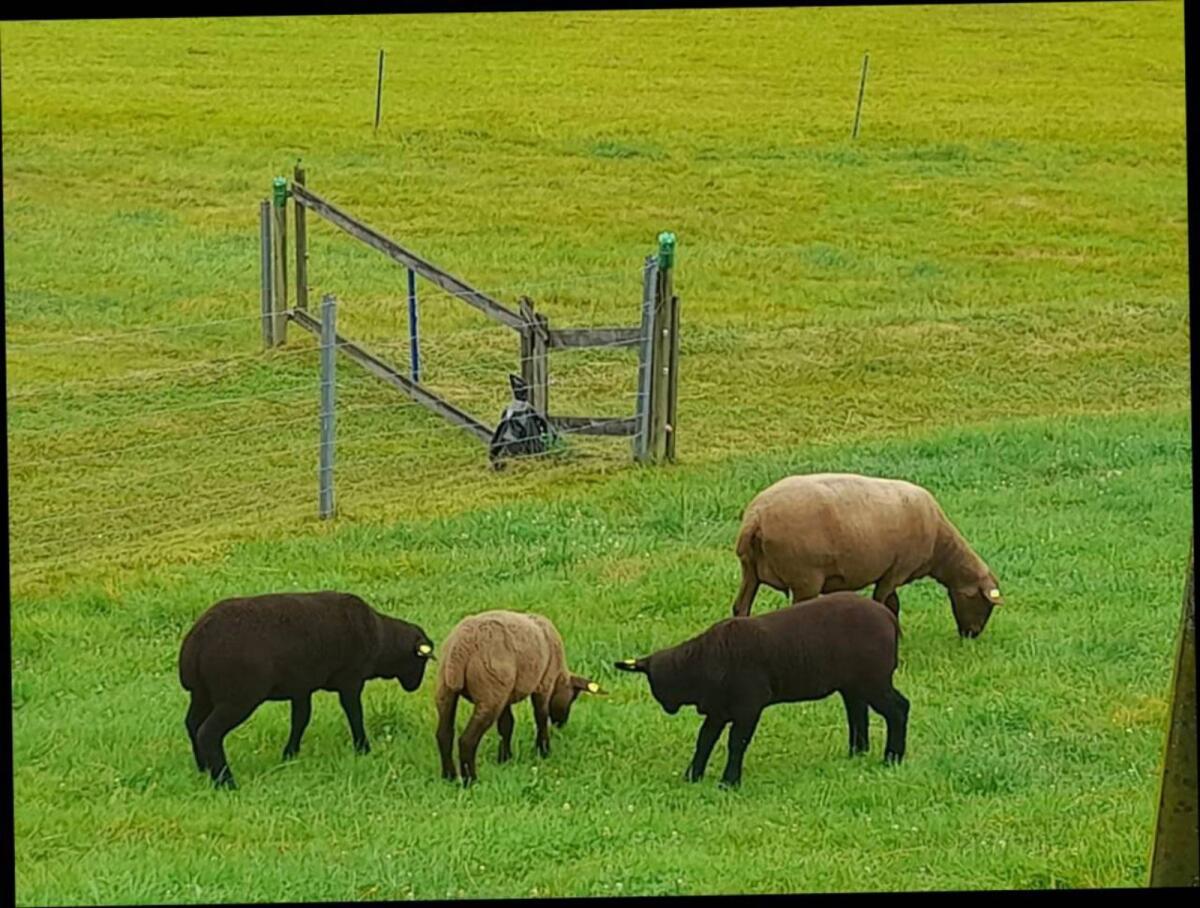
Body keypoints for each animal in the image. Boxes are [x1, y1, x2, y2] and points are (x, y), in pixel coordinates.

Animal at [178, 590, 435, 789]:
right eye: (420, 661)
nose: (414, 687)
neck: (381, 641)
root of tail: (196, 642)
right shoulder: (350, 680)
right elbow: (355, 714)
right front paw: (363, 748)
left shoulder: (301, 687)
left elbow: (301, 719)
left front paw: (290, 755)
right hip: (238, 697)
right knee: (208, 732)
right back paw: (226, 782)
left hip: (202, 693)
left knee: (192, 724)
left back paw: (203, 769)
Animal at [434, 609, 603, 786]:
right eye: (572, 698)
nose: (560, 724)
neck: (559, 677)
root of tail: (460, 649)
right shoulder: (544, 684)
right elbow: (541, 717)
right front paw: (543, 751)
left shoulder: (506, 695)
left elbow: (507, 725)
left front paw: (505, 758)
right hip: (490, 693)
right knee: (467, 740)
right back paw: (470, 780)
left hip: (449, 688)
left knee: (444, 734)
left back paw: (449, 776)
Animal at [614, 591, 908, 788]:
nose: (668, 709)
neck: (703, 660)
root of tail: (888, 618)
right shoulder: (719, 709)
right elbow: (704, 740)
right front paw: (692, 776)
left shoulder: (748, 705)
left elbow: (736, 742)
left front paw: (729, 782)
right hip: (854, 683)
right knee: (858, 712)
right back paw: (857, 754)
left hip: (874, 679)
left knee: (899, 708)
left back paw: (892, 758)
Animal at [730, 472, 1004, 637]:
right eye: (983, 603)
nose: (972, 635)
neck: (941, 547)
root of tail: (756, 518)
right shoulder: (897, 570)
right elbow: (883, 602)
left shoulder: (891, 571)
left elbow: (893, 604)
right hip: (805, 577)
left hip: (750, 570)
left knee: (740, 607)